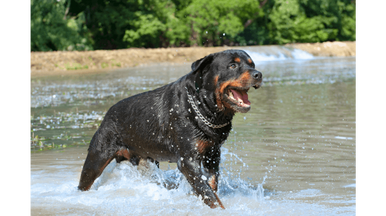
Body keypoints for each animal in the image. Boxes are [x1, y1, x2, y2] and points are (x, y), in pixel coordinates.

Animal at [78, 49, 262, 209]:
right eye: (232, 65)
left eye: (252, 64)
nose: (258, 74)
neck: (202, 108)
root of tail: (107, 114)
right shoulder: (188, 160)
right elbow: (207, 192)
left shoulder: (213, 154)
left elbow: (211, 184)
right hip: (97, 157)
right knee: (85, 182)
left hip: (145, 160)